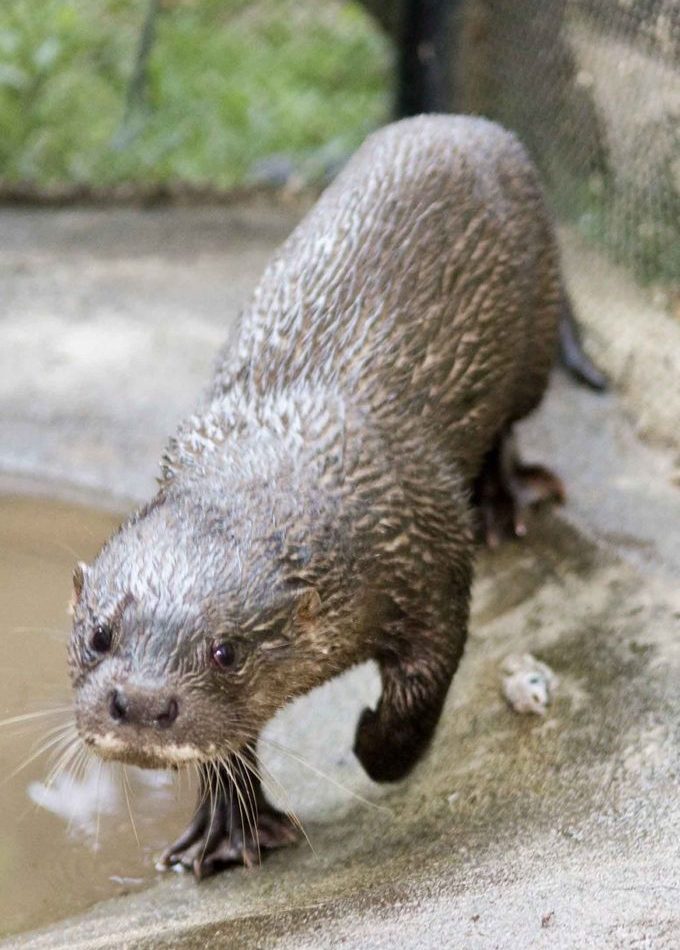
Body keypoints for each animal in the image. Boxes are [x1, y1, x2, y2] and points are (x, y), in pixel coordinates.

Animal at [69, 115, 601, 879]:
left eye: (227, 652)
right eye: (99, 635)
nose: (140, 704)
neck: (288, 442)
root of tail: (468, 123)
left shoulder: (432, 557)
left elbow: (423, 687)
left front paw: (374, 743)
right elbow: (232, 744)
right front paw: (228, 829)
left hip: (531, 342)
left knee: (509, 423)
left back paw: (505, 502)